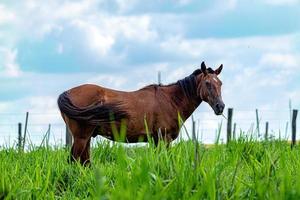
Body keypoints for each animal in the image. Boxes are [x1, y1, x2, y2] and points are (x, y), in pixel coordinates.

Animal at [57, 61, 224, 165]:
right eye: (207, 83)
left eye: (220, 83)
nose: (220, 107)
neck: (171, 100)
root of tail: (66, 93)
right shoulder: (164, 138)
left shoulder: (156, 140)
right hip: (81, 137)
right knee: (74, 160)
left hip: (87, 138)